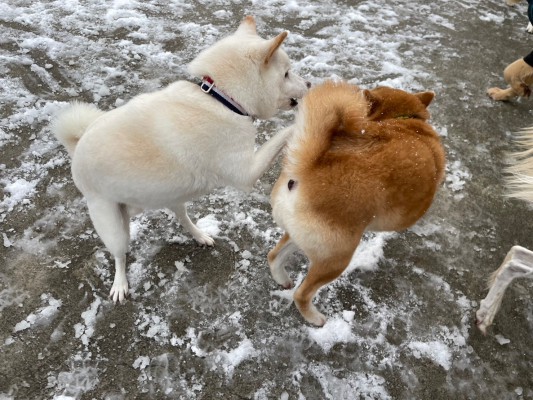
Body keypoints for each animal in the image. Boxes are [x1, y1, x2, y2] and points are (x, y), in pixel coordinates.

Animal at [52, 15, 310, 304]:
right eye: (286, 73)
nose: (310, 84)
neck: (220, 99)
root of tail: (77, 145)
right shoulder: (245, 173)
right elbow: (282, 134)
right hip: (111, 224)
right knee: (119, 254)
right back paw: (120, 284)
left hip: (168, 197)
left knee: (182, 219)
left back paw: (200, 235)